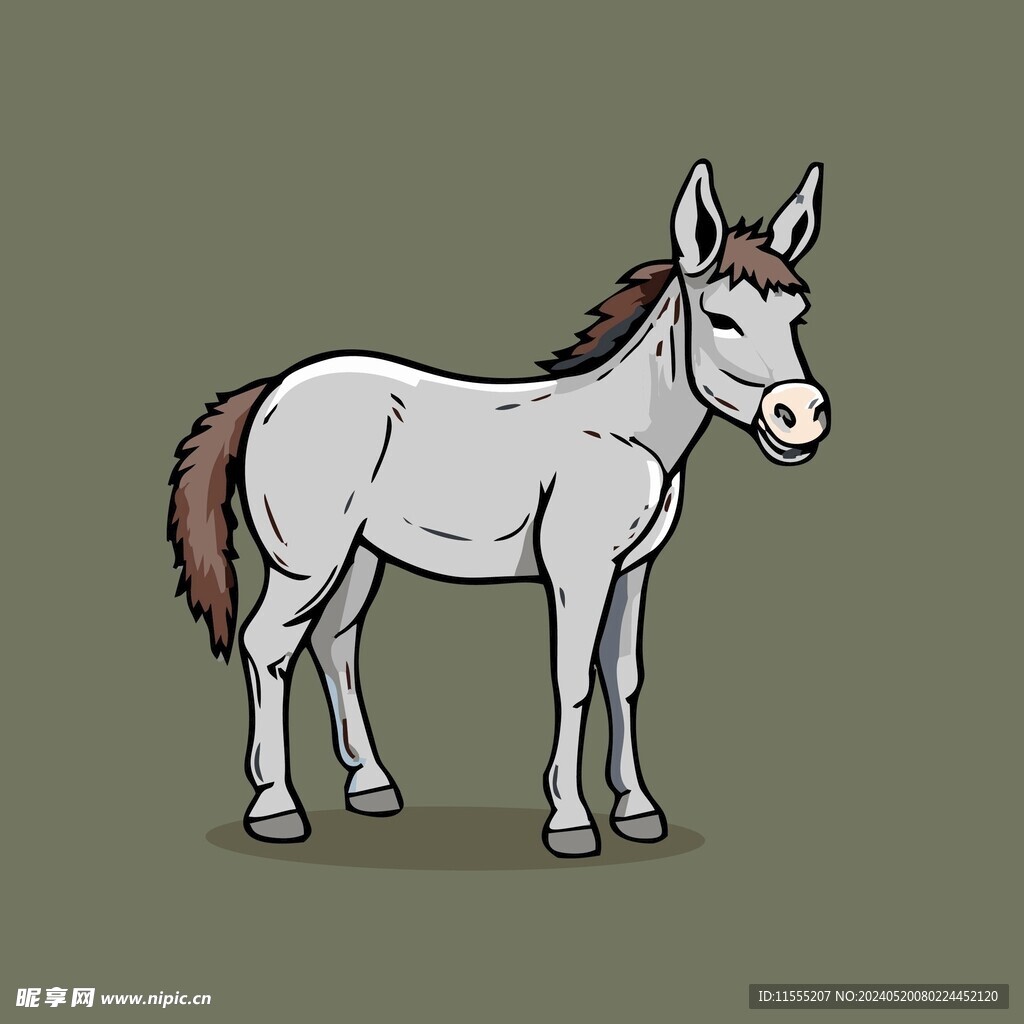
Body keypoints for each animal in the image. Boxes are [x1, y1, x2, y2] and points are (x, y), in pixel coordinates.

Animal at [168, 160, 830, 858]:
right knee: (269, 645)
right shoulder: (577, 573)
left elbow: (624, 678)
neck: (625, 431)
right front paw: (570, 820)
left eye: (798, 316)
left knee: (333, 641)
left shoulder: (633, 569)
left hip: (359, 556)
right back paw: (276, 808)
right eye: (721, 318)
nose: (800, 416)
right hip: (307, 563)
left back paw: (371, 786)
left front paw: (638, 810)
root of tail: (275, 387)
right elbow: (573, 680)